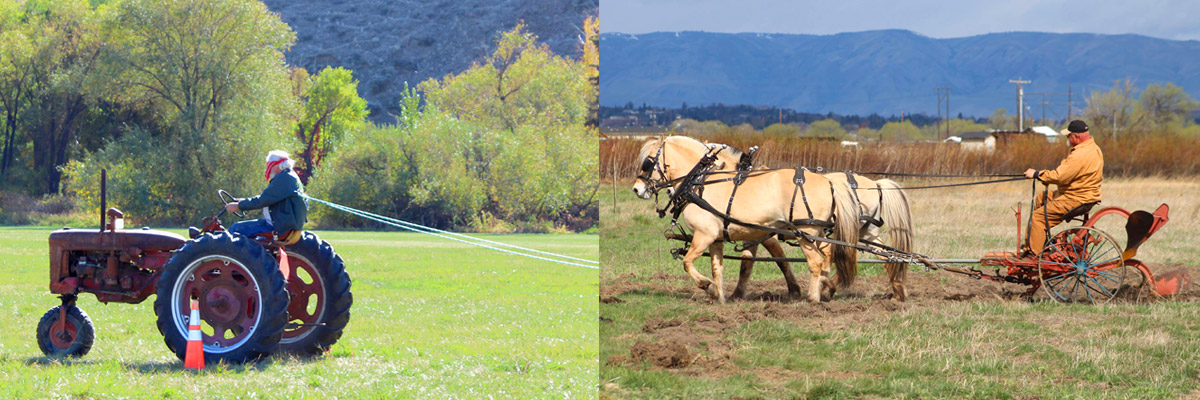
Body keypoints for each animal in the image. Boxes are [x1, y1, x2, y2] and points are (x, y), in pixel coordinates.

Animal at [631, 135, 862, 303]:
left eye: (648, 162)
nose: (637, 188)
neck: (700, 182)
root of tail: (828, 181)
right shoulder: (718, 238)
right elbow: (720, 268)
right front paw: (720, 296)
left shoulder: (704, 235)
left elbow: (688, 262)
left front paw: (707, 286)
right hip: (817, 231)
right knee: (828, 254)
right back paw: (826, 286)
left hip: (805, 232)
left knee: (815, 262)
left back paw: (813, 298)